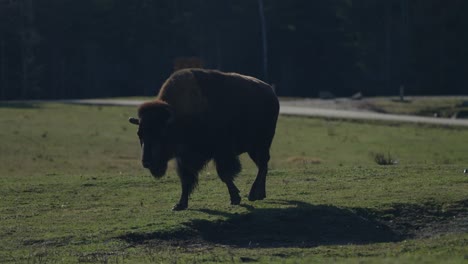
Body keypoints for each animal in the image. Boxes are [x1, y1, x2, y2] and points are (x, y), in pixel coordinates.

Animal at [128, 68, 278, 210]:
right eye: (139, 134)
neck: (179, 118)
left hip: (261, 145)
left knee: (263, 165)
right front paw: (180, 205)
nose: (146, 162)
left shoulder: (222, 152)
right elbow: (186, 179)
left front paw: (235, 198)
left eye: (161, 133)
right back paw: (260, 194)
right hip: (253, 148)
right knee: (262, 166)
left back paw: (253, 194)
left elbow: (224, 174)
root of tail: (270, 92)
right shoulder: (184, 158)